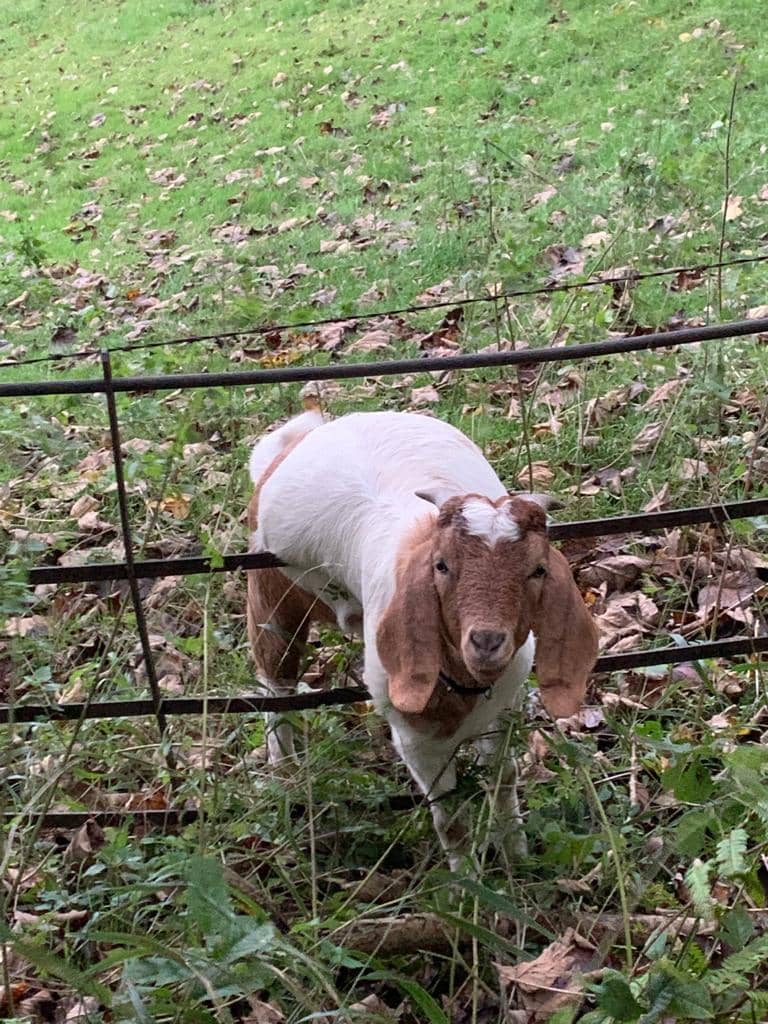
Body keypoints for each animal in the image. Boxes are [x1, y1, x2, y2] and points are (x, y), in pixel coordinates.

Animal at [246, 411, 602, 868]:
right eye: (441, 565)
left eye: (538, 569)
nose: (487, 640)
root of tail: (307, 432)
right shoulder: (415, 741)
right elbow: (449, 816)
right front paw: (467, 876)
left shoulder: (505, 709)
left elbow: (503, 779)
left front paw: (516, 854)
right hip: (271, 597)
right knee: (277, 689)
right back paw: (285, 776)